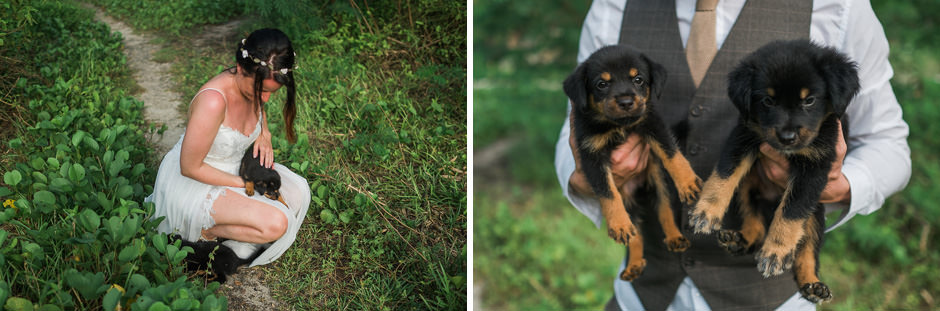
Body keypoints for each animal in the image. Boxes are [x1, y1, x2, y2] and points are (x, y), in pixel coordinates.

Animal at [560, 44, 700, 282]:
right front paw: (617, 224)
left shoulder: (653, 124)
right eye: (602, 84)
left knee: (665, 210)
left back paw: (675, 237)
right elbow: (607, 192)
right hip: (629, 204)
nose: (626, 102)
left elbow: (672, 154)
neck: (617, 125)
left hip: (658, 183)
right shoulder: (591, 155)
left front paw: (687, 182)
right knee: (635, 235)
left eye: (638, 80)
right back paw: (633, 264)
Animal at [684, 39, 860, 304]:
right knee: (755, 224)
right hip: (748, 188)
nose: (787, 138)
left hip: (815, 213)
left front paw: (775, 252)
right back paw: (738, 241)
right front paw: (706, 211)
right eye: (768, 101)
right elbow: (724, 174)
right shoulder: (745, 136)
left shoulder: (815, 167)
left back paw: (813, 286)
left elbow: (790, 211)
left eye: (809, 100)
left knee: (807, 249)